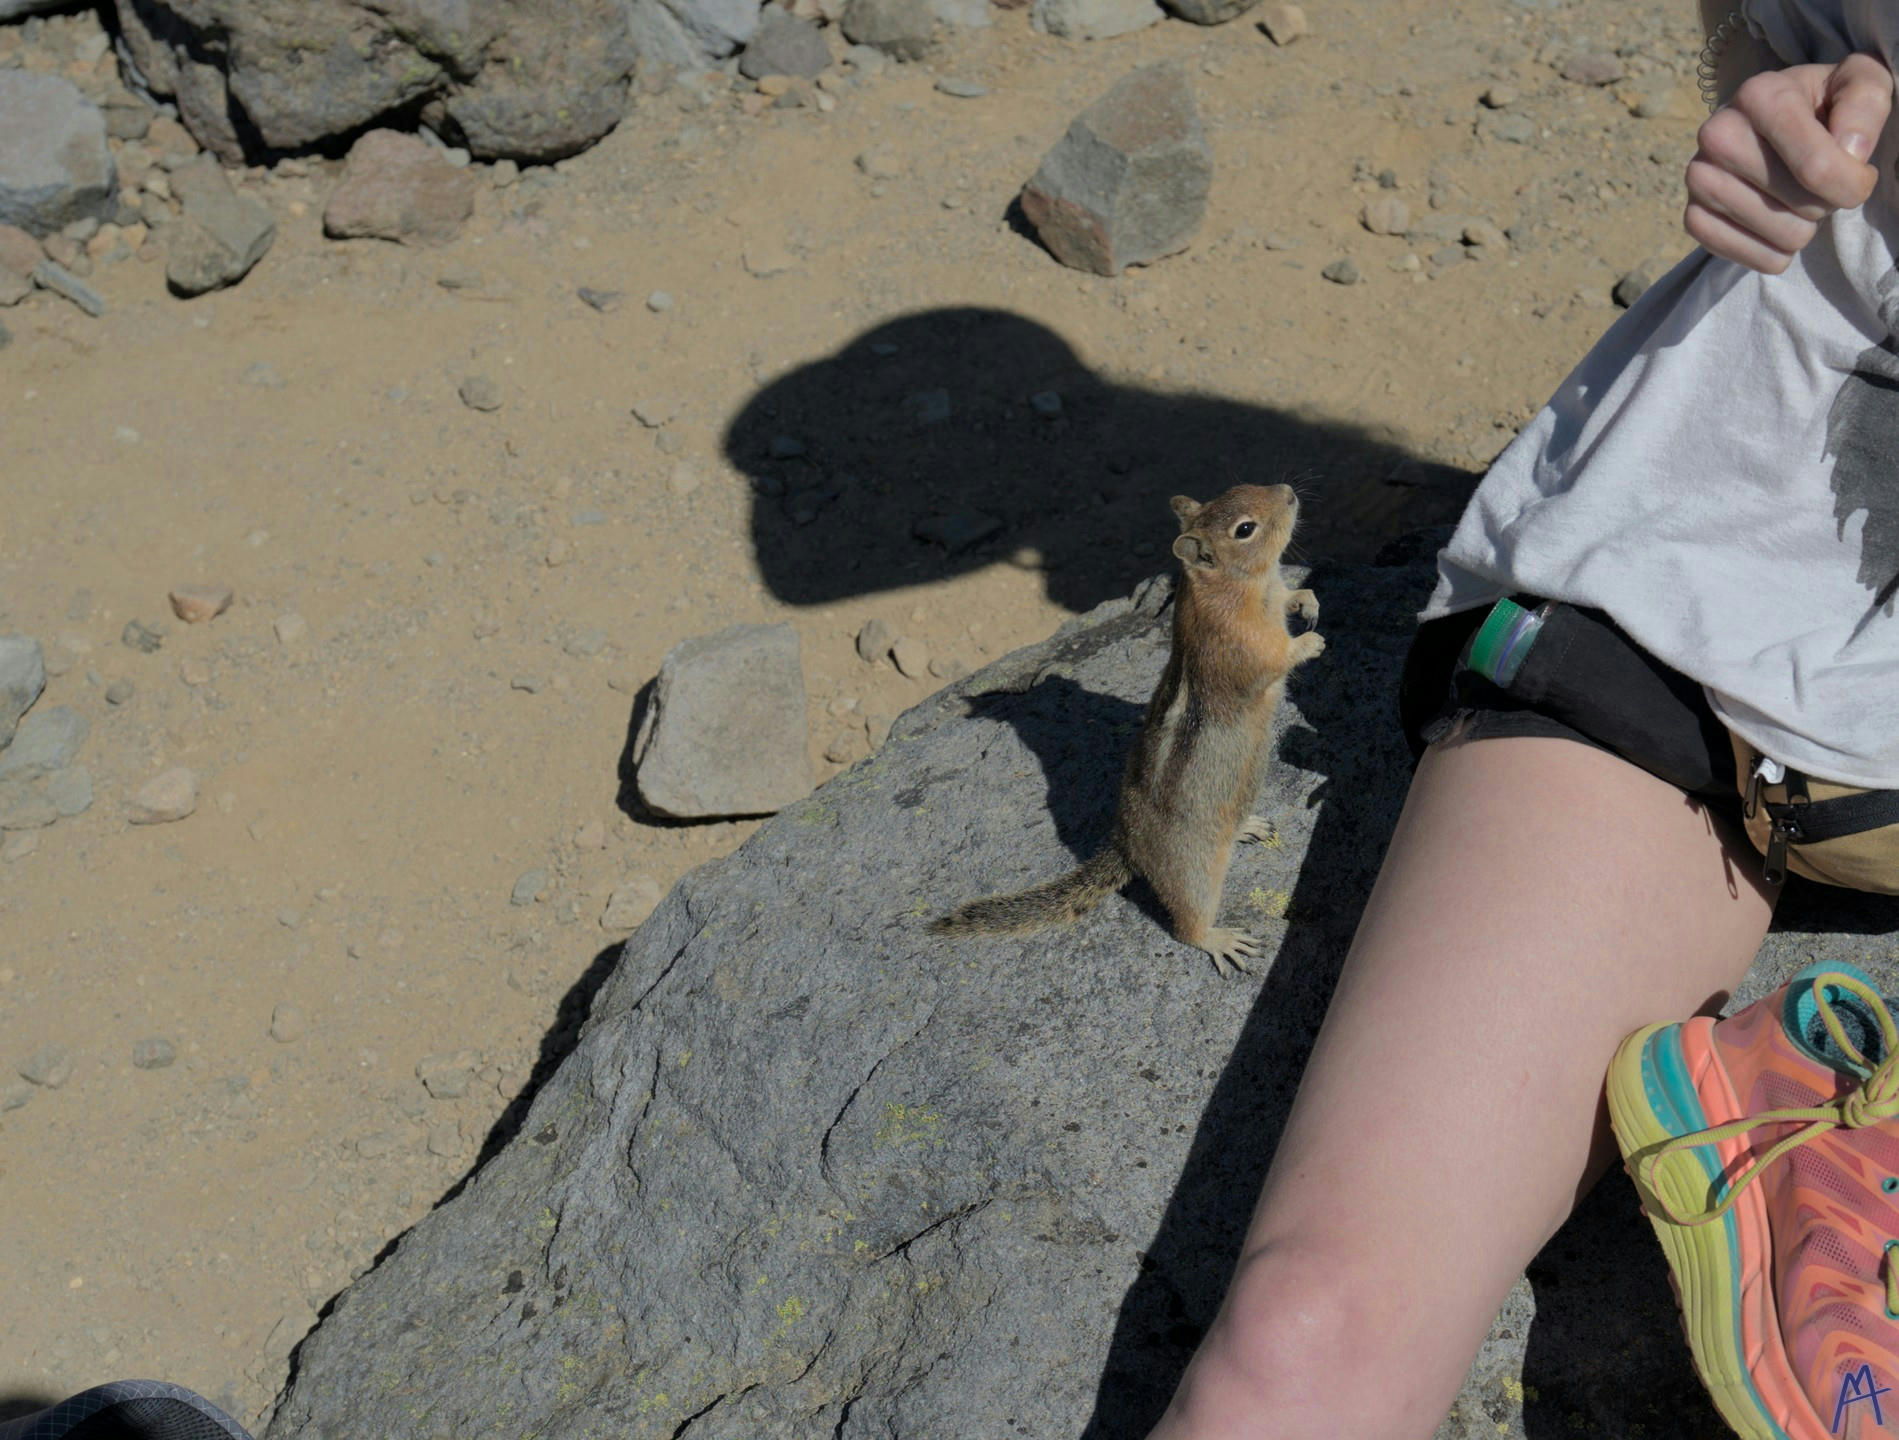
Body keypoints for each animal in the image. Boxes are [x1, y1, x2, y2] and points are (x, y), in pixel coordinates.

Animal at [934, 486, 1321, 980]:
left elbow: (1293, 595)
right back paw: (1219, 939)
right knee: (1185, 925)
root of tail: (1127, 844)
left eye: (1237, 490)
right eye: (1245, 529)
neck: (1235, 585)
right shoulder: (1241, 646)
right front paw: (1311, 643)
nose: (1289, 493)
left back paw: (1246, 826)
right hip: (1194, 872)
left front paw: (1307, 601)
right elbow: (1275, 658)